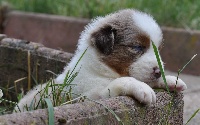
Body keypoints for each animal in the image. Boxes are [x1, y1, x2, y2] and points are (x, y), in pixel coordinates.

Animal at [14, 9, 187, 112]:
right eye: (137, 47)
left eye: (158, 50)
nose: (158, 71)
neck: (104, 69)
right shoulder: (85, 95)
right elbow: (122, 81)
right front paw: (142, 88)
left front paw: (170, 80)